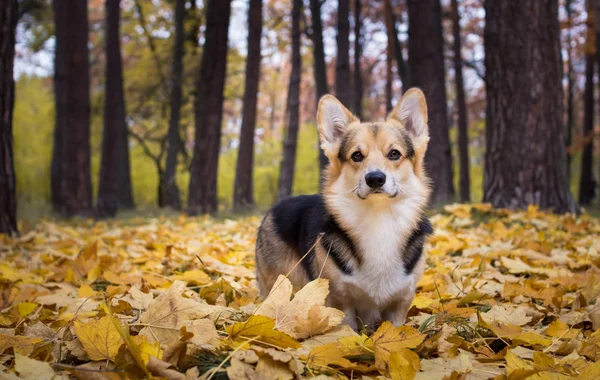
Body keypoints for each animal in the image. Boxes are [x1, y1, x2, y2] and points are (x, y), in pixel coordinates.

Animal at [255, 87, 434, 328]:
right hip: (280, 284)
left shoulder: (400, 304)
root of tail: (276, 206)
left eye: (394, 153)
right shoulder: (340, 302)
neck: (379, 219)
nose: (375, 178)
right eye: (356, 155)